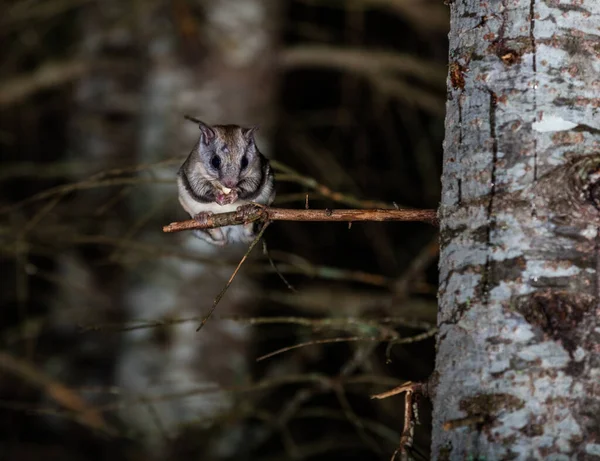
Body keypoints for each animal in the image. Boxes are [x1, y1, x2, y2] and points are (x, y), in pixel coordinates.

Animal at [176, 118, 274, 246]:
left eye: (245, 162)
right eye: (215, 161)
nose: (230, 184)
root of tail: (232, 234)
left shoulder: (257, 169)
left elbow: (251, 185)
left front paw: (235, 194)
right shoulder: (193, 170)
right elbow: (199, 187)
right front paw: (217, 196)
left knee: (250, 231)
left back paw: (246, 211)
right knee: (219, 238)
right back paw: (203, 217)